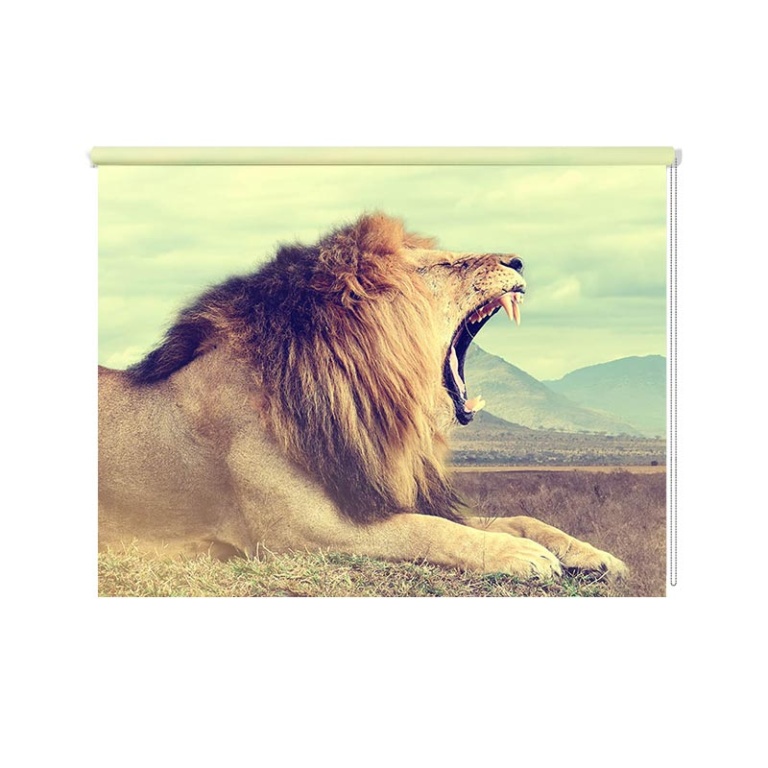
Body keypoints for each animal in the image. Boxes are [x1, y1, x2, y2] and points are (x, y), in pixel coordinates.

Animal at [99, 212, 627, 580]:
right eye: (443, 264)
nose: (516, 262)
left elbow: (517, 517)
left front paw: (594, 554)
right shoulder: (296, 532)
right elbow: (428, 529)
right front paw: (520, 555)